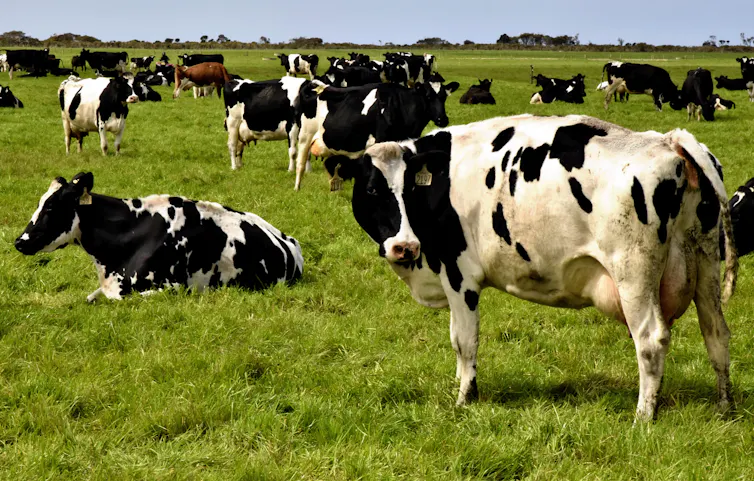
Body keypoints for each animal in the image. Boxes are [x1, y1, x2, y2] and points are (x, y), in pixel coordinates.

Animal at [291, 74, 459, 190]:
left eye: (444, 97)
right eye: (428, 96)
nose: (442, 119)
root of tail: (316, 87)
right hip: (305, 136)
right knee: (300, 163)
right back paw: (297, 188)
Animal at [322, 114, 737, 422]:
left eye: (409, 189)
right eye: (372, 189)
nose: (404, 246)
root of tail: (668, 140)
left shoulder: (460, 275)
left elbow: (465, 341)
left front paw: (465, 398)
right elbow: (457, 340)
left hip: (633, 272)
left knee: (651, 339)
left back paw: (643, 417)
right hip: (705, 264)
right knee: (716, 333)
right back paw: (725, 408)